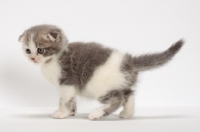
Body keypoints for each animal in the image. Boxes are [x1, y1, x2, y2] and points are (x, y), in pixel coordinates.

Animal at [18, 24, 184, 119]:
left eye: (40, 50)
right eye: (28, 50)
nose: (33, 58)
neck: (55, 57)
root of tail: (128, 62)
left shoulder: (67, 81)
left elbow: (64, 100)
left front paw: (61, 113)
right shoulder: (69, 87)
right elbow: (71, 99)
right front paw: (71, 112)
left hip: (99, 85)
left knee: (118, 98)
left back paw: (96, 114)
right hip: (120, 82)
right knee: (129, 93)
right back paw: (127, 114)